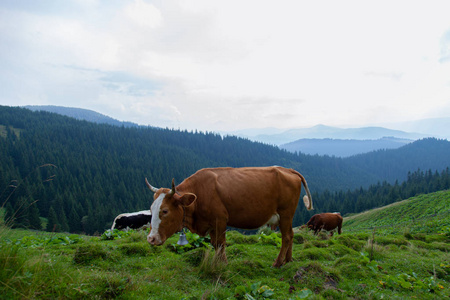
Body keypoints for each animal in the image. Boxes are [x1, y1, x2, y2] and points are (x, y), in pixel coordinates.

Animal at [145, 166, 312, 268]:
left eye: (165, 211)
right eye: (151, 209)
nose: (151, 239)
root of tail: (288, 169)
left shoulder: (220, 220)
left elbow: (220, 244)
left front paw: (223, 264)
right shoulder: (211, 224)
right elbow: (214, 244)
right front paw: (216, 262)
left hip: (285, 214)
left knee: (286, 237)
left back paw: (277, 263)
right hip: (287, 217)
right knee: (290, 234)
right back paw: (288, 260)